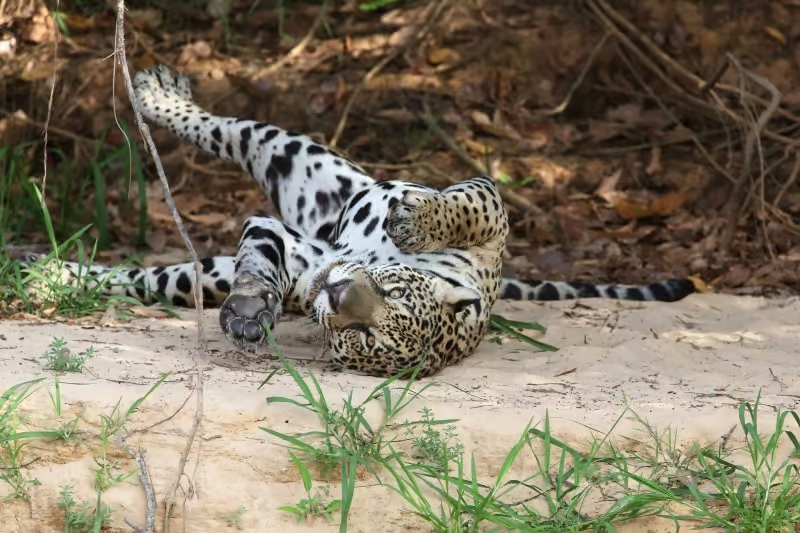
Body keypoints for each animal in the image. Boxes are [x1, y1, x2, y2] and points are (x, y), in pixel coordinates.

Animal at [18, 65, 698, 378]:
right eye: (392, 293)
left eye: (362, 339)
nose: (340, 295)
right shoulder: (490, 226)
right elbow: (472, 203)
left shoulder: (296, 253)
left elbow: (262, 261)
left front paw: (253, 308)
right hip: (312, 166)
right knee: (239, 129)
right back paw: (160, 94)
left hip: (254, 227)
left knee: (156, 276)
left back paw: (42, 273)